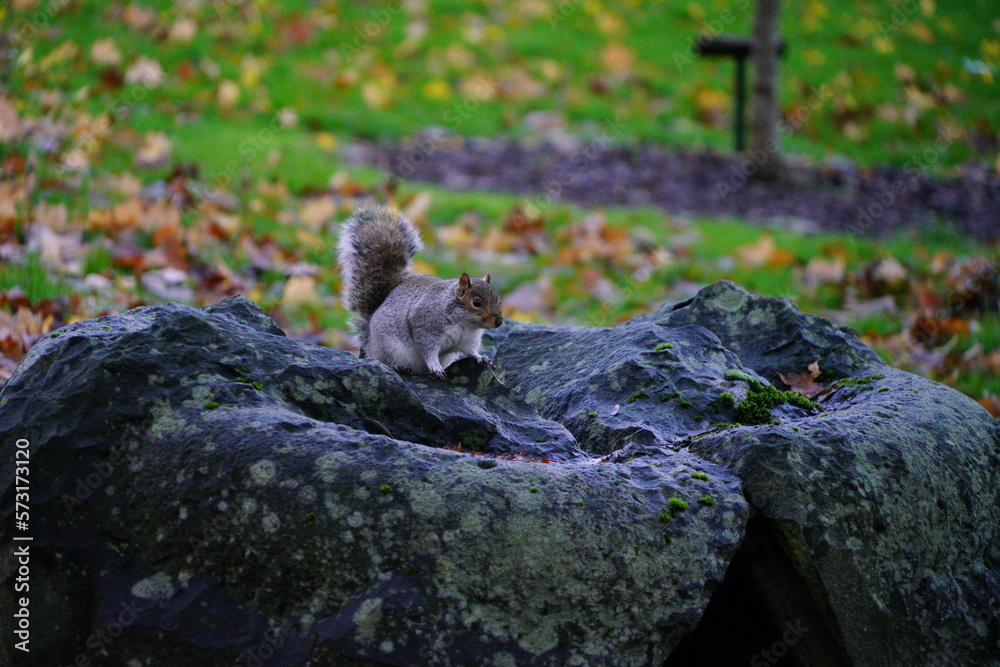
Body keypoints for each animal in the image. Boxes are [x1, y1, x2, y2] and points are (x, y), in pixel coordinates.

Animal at [337, 205, 504, 379]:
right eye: (476, 302)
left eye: (498, 299)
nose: (499, 322)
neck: (465, 324)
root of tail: (369, 342)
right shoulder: (424, 328)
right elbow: (428, 351)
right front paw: (435, 366)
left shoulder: (469, 339)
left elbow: (470, 351)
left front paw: (481, 357)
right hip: (388, 348)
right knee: (385, 360)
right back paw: (398, 366)